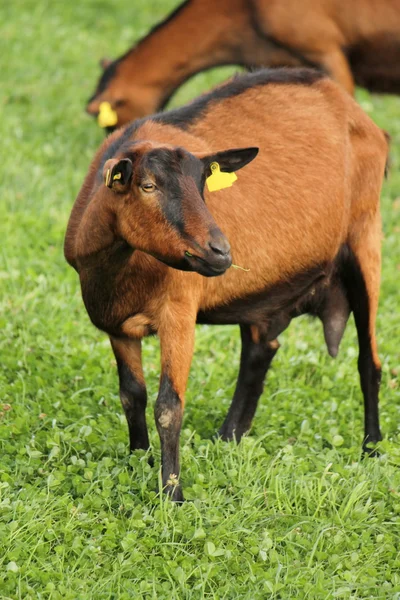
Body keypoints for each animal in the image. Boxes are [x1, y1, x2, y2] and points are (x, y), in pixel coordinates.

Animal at [68, 69, 388, 502]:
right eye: (147, 186)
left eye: (204, 184)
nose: (220, 252)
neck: (122, 271)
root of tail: (348, 103)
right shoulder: (116, 326)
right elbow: (131, 395)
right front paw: (139, 459)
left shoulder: (179, 311)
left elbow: (168, 406)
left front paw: (172, 494)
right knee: (259, 350)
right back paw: (229, 436)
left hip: (366, 236)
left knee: (369, 361)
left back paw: (371, 447)